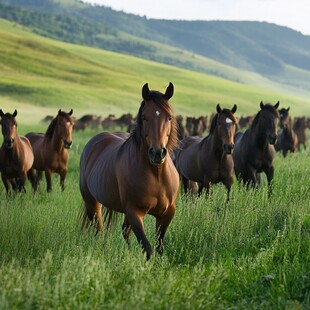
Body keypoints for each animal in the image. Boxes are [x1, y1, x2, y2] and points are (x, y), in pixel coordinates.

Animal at [79, 82, 179, 260]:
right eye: (144, 117)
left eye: (169, 117)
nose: (157, 153)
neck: (157, 175)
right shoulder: (134, 212)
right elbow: (147, 247)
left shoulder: (166, 214)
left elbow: (159, 246)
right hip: (92, 203)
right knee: (98, 229)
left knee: (124, 231)